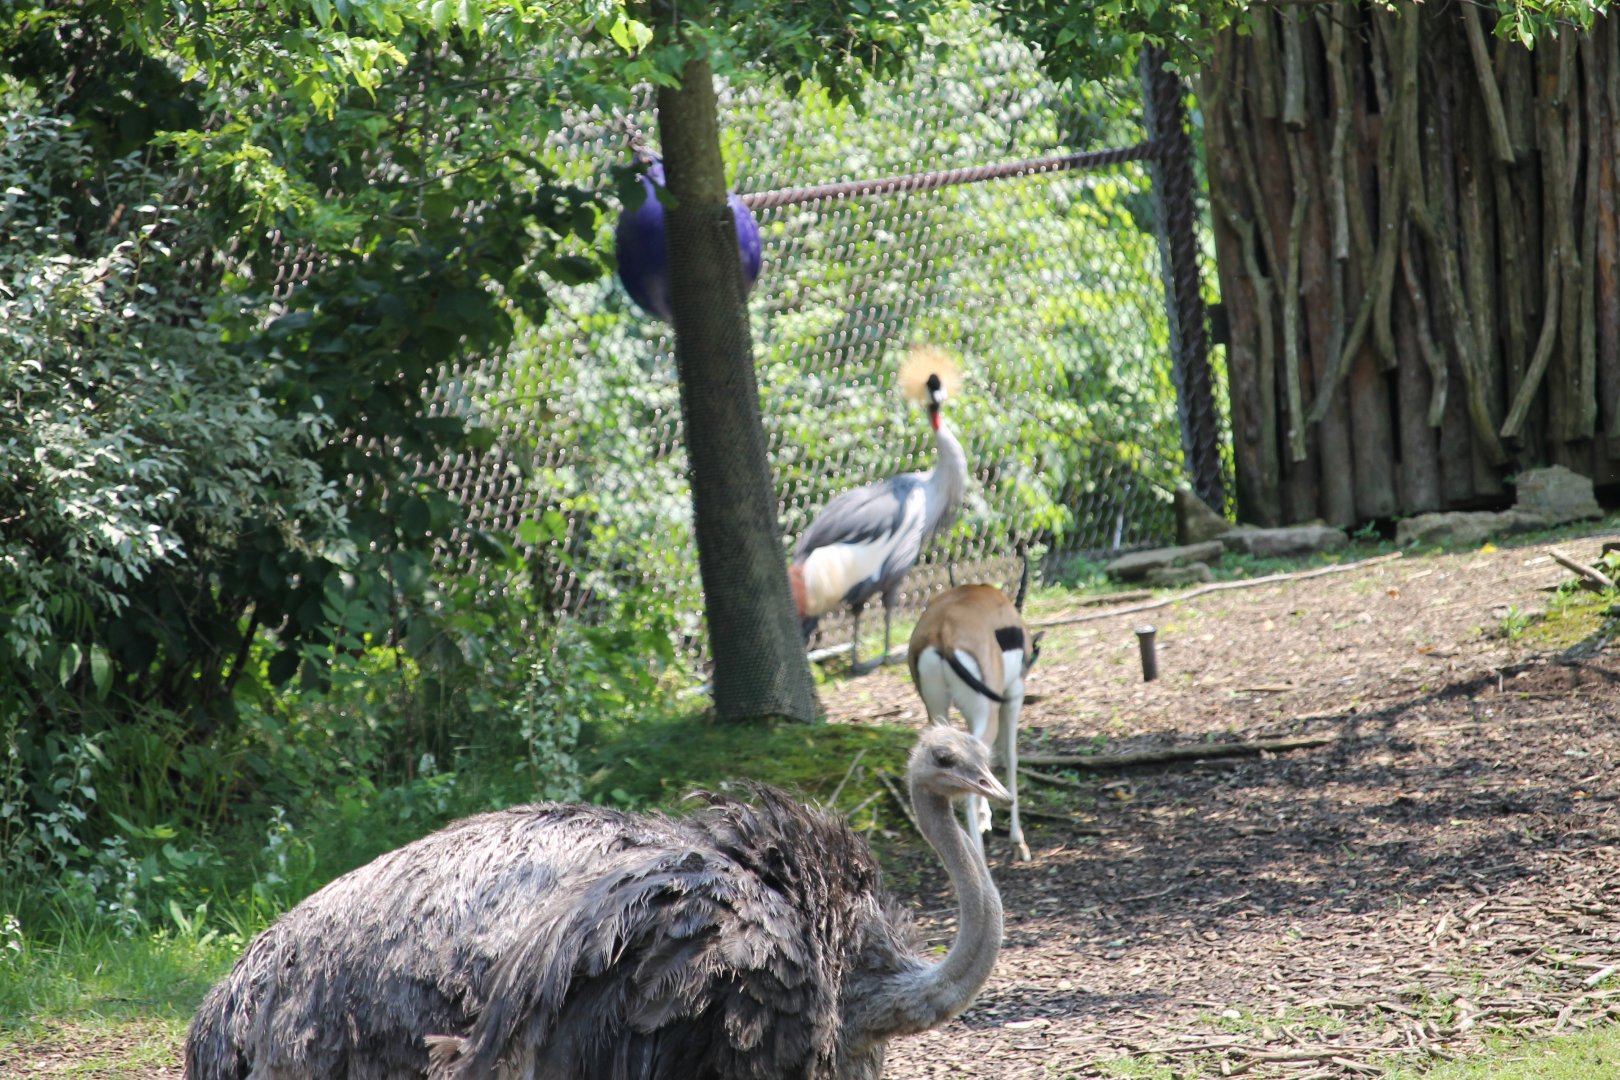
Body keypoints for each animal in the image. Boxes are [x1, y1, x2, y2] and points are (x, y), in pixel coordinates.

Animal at [907, 583, 1040, 862]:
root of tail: (941, 632)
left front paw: (985, 819)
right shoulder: (1014, 694)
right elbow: (1010, 757)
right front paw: (1018, 842)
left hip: (937, 711)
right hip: (989, 711)